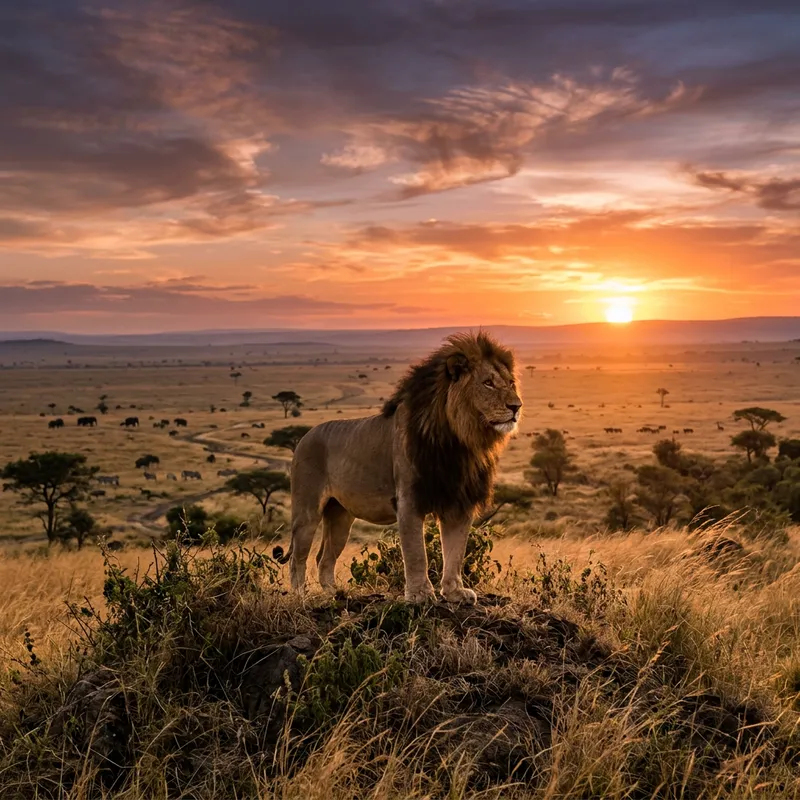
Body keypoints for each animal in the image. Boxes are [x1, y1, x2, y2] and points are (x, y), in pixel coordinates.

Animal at [273, 332, 522, 603]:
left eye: (511, 383)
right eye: (488, 383)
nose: (517, 406)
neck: (460, 441)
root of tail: (305, 436)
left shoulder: (458, 501)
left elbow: (455, 551)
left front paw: (454, 591)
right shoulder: (409, 500)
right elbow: (416, 554)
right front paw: (421, 594)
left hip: (340, 515)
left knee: (324, 556)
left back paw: (334, 593)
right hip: (307, 511)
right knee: (298, 557)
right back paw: (301, 595)